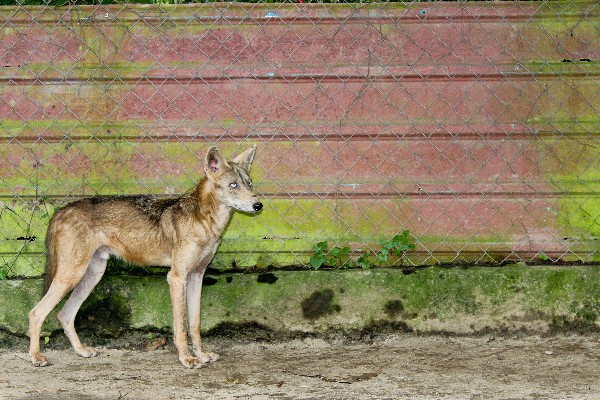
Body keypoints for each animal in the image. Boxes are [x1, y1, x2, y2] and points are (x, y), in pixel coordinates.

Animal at [28, 145, 262, 368]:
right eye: (233, 185)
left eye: (249, 183)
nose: (258, 205)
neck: (207, 223)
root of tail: (61, 210)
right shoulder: (176, 278)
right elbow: (181, 327)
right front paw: (187, 358)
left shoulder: (196, 277)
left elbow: (195, 325)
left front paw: (202, 355)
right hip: (71, 275)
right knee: (36, 312)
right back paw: (36, 357)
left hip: (91, 275)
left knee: (64, 315)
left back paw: (81, 351)